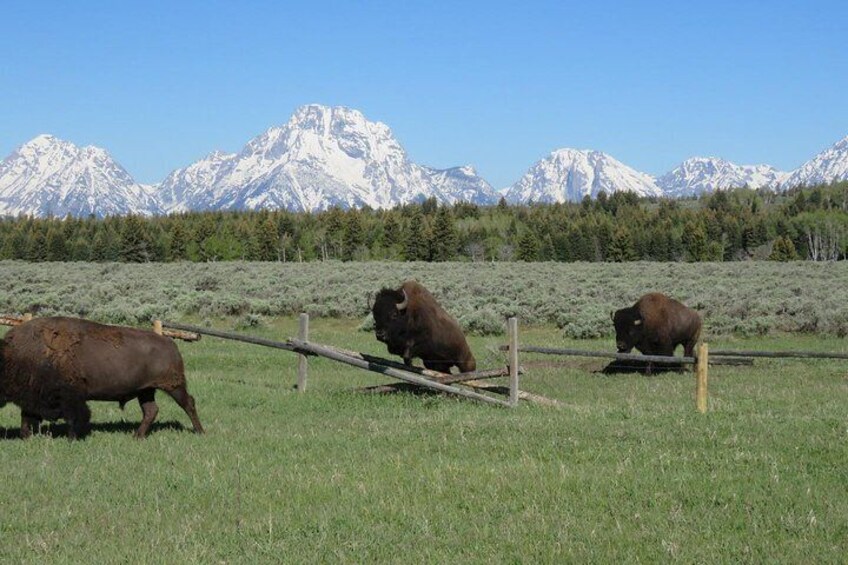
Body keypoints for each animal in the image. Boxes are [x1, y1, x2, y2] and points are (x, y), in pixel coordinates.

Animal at [0, 316, 204, 438]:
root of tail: (170, 343)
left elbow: (72, 416)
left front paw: (72, 437)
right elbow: (27, 414)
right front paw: (26, 436)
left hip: (173, 386)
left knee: (188, 403)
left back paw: (200, 431)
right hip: (146, 391)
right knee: (151, 410)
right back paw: (137, 436)